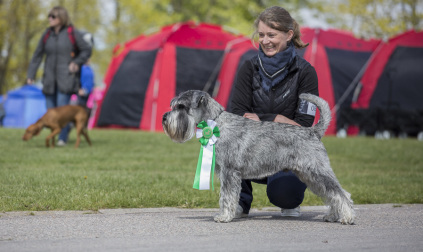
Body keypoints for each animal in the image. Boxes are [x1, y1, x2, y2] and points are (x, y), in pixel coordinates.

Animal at [162, 90, 354, 224]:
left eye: (181, 106)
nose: (164, 117)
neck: (217, 124)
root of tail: (313, 132)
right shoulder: (228, 173)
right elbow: (228, 196)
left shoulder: (230, 172)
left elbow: (227, 197)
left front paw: (224, 217)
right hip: (310, 176)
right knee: (331, 194)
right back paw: (333, 216)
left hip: (317, 171)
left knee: (341, 193)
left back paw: (347, 217)